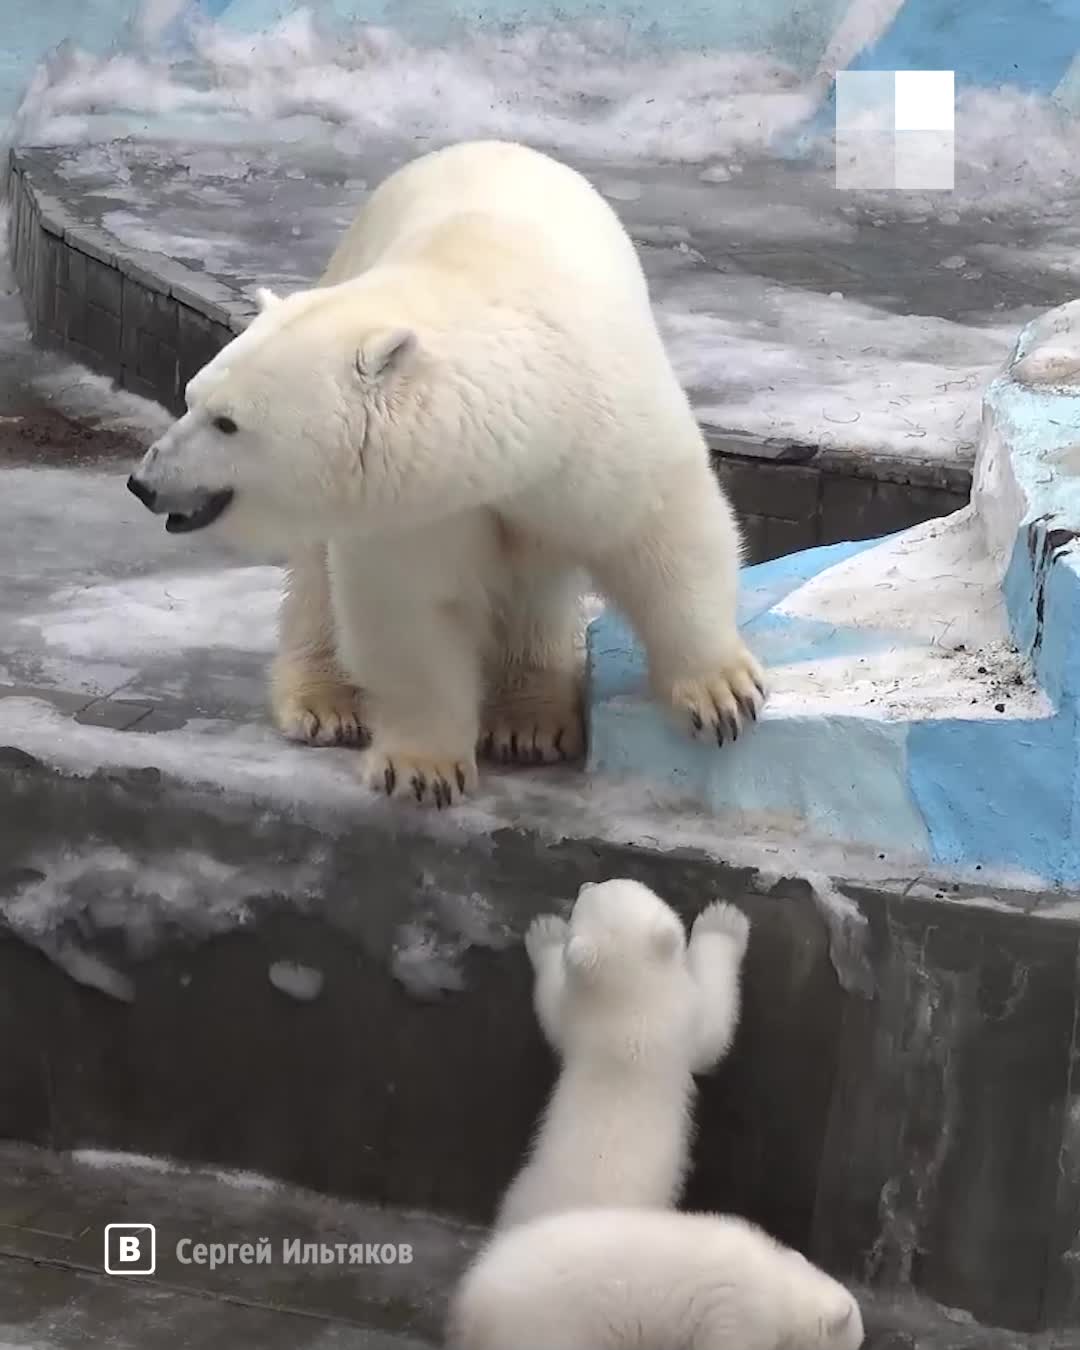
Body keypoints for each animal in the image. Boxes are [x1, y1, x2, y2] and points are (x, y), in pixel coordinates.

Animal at [128, 142, 766, 804]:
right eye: (190, 397)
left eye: (226, 422)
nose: (145, 483)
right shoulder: (409, 499)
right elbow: (410, 612)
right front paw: (422, 769)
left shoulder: (596, 432)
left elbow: (662, 532)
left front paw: (721, 695)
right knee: (314, 578)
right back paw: (326, 704)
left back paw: (532, 720)